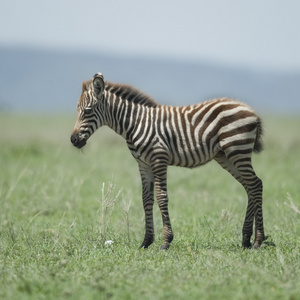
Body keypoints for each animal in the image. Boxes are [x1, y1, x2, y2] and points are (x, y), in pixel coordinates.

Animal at [71, 72, 266, 251]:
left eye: (87, 111)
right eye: (77, 110)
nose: (73, 140)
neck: (135, 123)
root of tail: (252, 111)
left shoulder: (159, 159)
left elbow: (161, 197)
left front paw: (165, 241)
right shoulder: (143, 164)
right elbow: (146, 199)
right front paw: (146, 241)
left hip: (237, 149)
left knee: (255, 185)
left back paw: (258, 241)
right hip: (226, 156)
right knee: (250, 186)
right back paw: (246, 239)